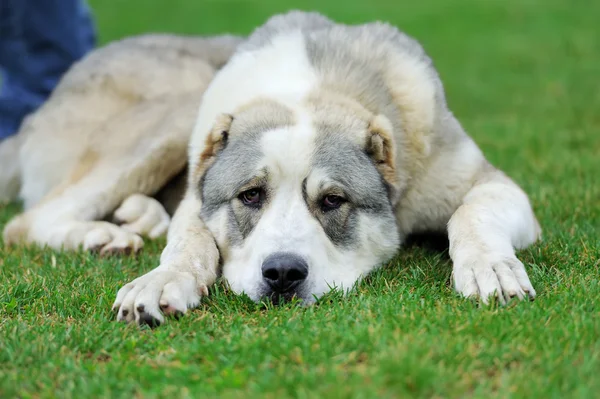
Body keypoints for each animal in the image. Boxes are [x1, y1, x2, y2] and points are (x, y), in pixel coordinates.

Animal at [0, 12, 540, 326]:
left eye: (332, 200)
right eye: (250, 195)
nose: (282, 274)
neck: (316, 85)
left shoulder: (494, 185)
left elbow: (470, 212)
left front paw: (490, 268)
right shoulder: (201, 194)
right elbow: (190, 242)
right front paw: (161, 280)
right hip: (177, 112)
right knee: (29, 221)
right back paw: (100, 235)